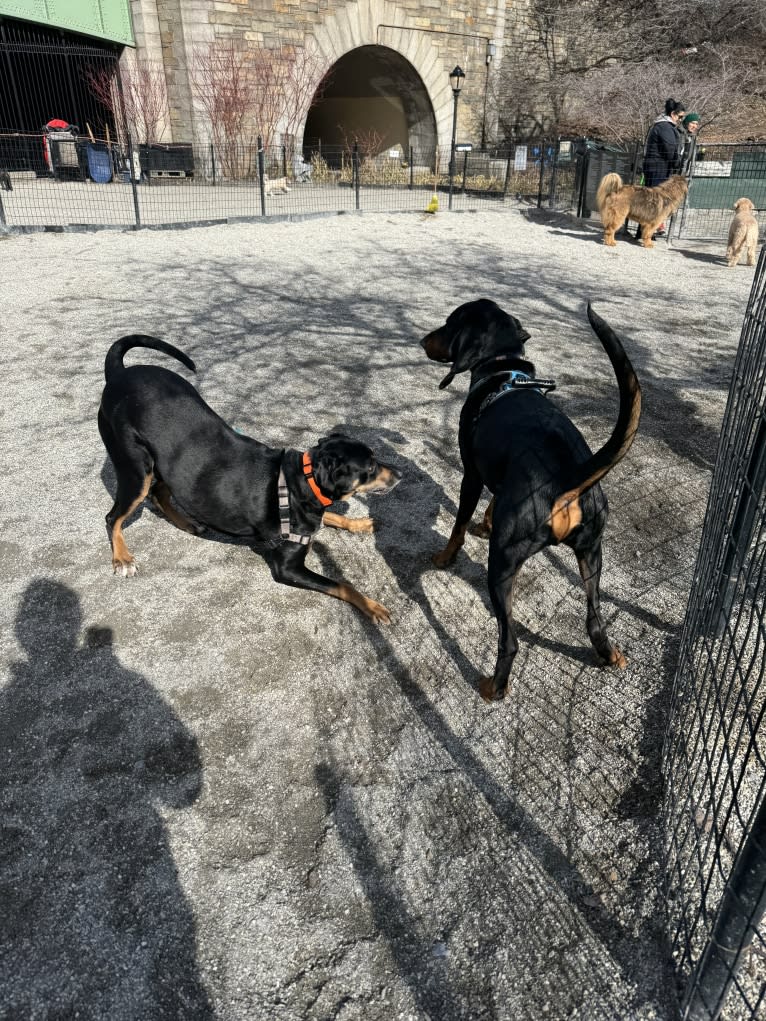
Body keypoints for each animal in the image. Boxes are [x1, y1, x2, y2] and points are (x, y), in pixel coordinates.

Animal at [97, 334, 402, 620]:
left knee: (160, 493)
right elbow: (343, 585)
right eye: (371, 467)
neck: (303, 483)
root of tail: (119, 374)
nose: (400, 473)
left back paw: (187, 523)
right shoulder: (288, 567)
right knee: (114, 517)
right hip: (135, 468)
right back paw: (122, 558)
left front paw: (360, 523)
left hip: (166, 465)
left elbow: (334, 516)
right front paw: (372, 606)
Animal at [422, 298, 645, 702]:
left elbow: (458, 525)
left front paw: (446, 557)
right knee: (594, 621)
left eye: (449, 324)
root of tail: (567, 477)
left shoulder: (472, 475)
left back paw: (493, 687)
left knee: (510, 641)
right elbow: (493, 502)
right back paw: (608, 654)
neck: (504, 369)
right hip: (592, 553)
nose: (422, 340)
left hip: (502, 564)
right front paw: (486, 522)